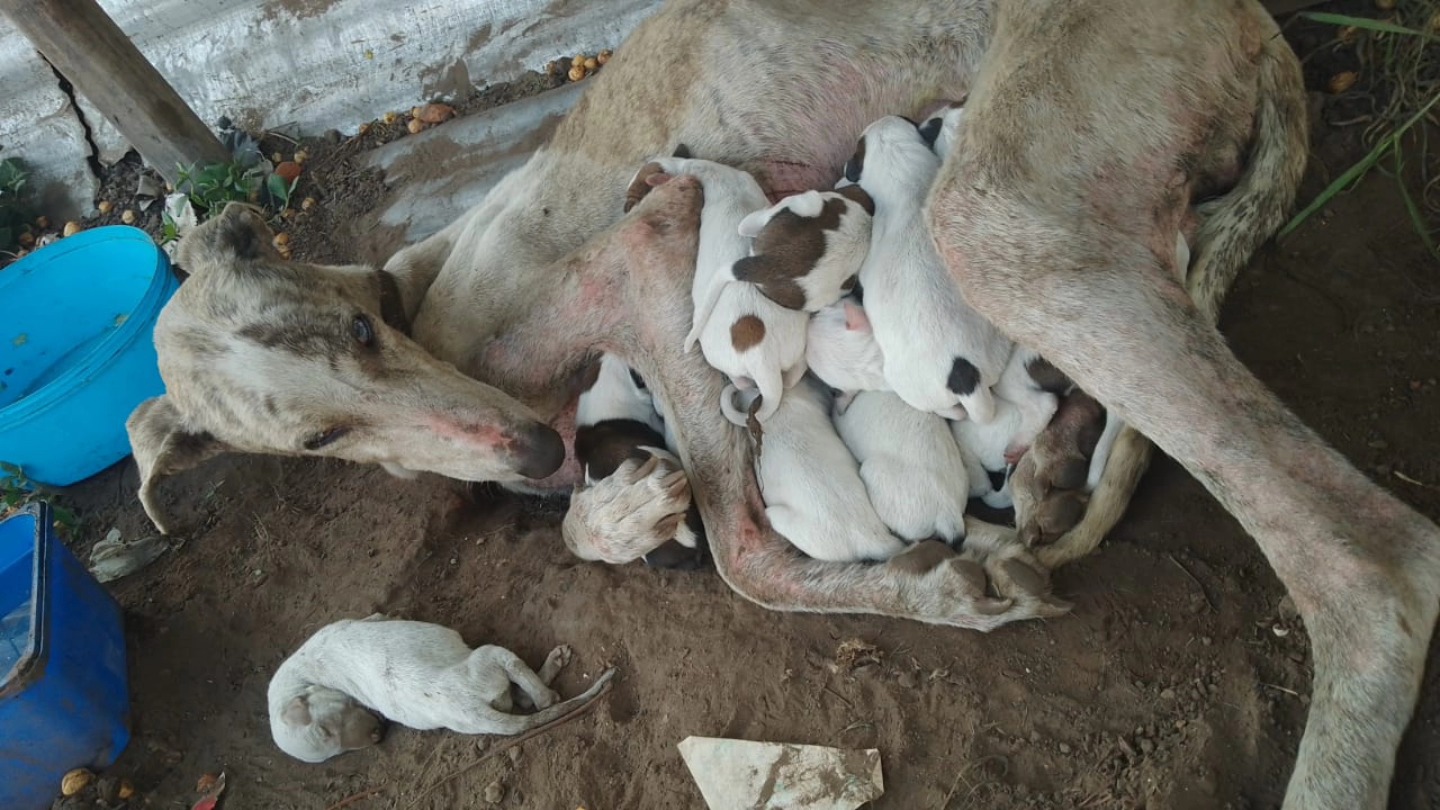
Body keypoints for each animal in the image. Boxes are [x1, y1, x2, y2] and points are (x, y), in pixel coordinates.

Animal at [267, 613, 616, 760]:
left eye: (329, 732)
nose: (377, 735)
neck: (303, 671)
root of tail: (470, 710)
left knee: (524, 702)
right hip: (488, 659)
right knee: (536, 698)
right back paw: (550, 680)